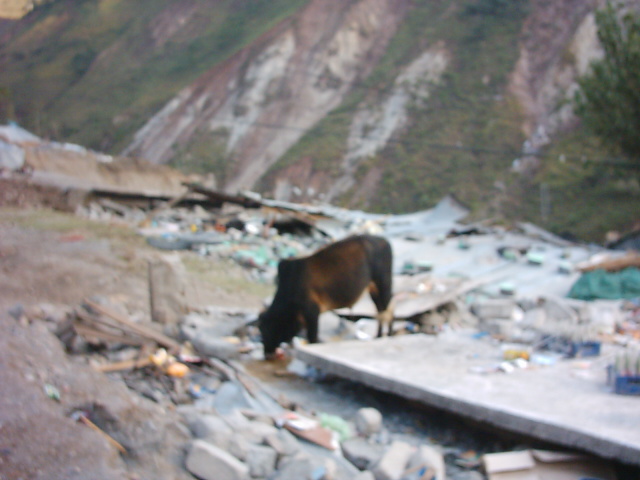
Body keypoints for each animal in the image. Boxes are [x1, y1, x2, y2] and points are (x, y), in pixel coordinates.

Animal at [258, 234, 392, 358]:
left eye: (267, 330)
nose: (266, 352)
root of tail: (383, 240)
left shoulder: (312, 312)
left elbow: (312, 338)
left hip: (384, 284)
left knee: (388, 310)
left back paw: (389, 335)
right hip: (373, 290)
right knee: (380, 311)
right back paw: (378, 336)